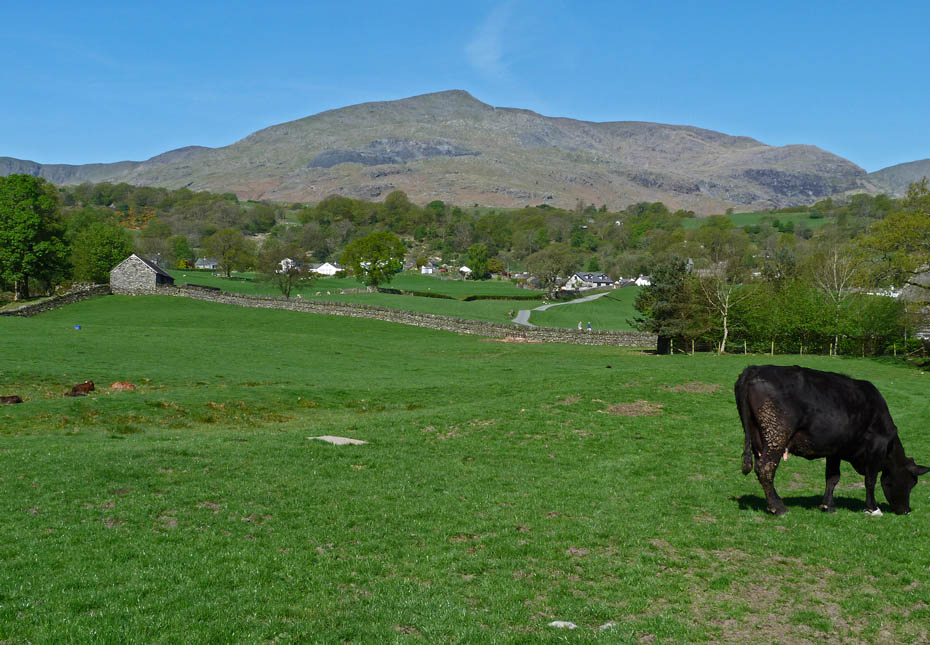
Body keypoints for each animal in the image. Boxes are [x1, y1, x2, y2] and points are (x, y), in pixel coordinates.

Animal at [735, 365, 929, 516]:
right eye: (911, 482)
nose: (906, 510)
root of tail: (754, 369)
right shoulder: (876, 449)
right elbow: (870, 480)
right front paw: (872, 508)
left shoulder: (835, 449)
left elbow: (833, 477)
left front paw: (827, 506)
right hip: (777, 434)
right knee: (766, 468)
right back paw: (778, 508)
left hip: (757, 438)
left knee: (762, 468)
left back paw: (777, 503)